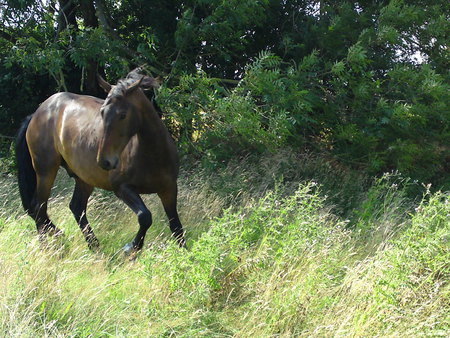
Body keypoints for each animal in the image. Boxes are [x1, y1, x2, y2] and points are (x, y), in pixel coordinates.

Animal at [15, 69, 185, 254]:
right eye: (102, 112)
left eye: (123, 115)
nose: (105, 161)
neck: (152, 155)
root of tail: (37, 113)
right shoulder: (122, 188)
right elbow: (145, 216)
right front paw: (131, 249)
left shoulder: (169, 189)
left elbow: (176, 227)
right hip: (46, 171)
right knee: (38, 207)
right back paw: (51, 246)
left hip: (84, 179)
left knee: (76, 207)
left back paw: (93, 245)